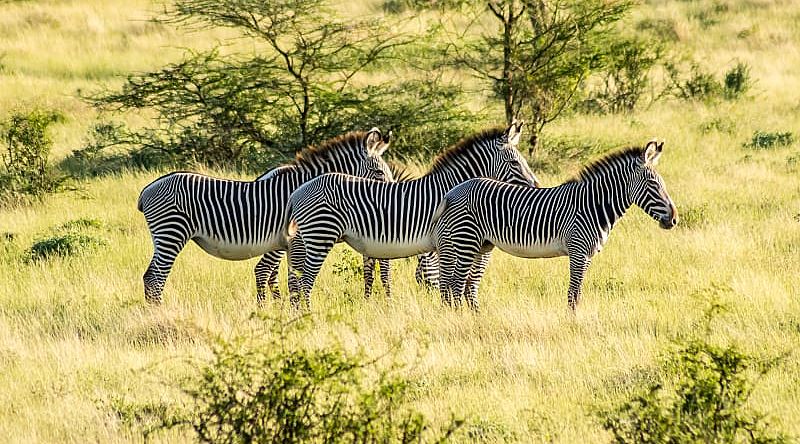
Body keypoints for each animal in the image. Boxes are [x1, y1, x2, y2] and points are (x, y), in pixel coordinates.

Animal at [141, 126, 396, 304]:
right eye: (378, 172)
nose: (390, 203)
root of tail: (146, 190)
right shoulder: (294, 239)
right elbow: (288, 278)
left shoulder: (287, 243)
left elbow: (288, 278)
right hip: (172, 233)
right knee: (156, 278)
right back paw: (159, 313)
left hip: (164, 237)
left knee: (149, 276)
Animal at [280, 121, 536, 308]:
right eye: (514, 163)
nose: (537, 186)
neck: (450, 188)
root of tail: (295, 193)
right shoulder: (446, 242)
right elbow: (447, 279)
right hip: (320, 235)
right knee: (304, 280)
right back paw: (307, 315)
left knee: (296, 279)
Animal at [428, 140, 680, 310]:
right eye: (652, 185)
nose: (674, 219)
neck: (593, 205)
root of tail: (453, 191)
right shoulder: (578, 251)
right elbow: (574, 293)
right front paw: (573, 324)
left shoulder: (588, 255)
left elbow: (577, 293)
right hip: (466, 241)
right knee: (456, 284)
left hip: (479, 244)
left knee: (457, 284)